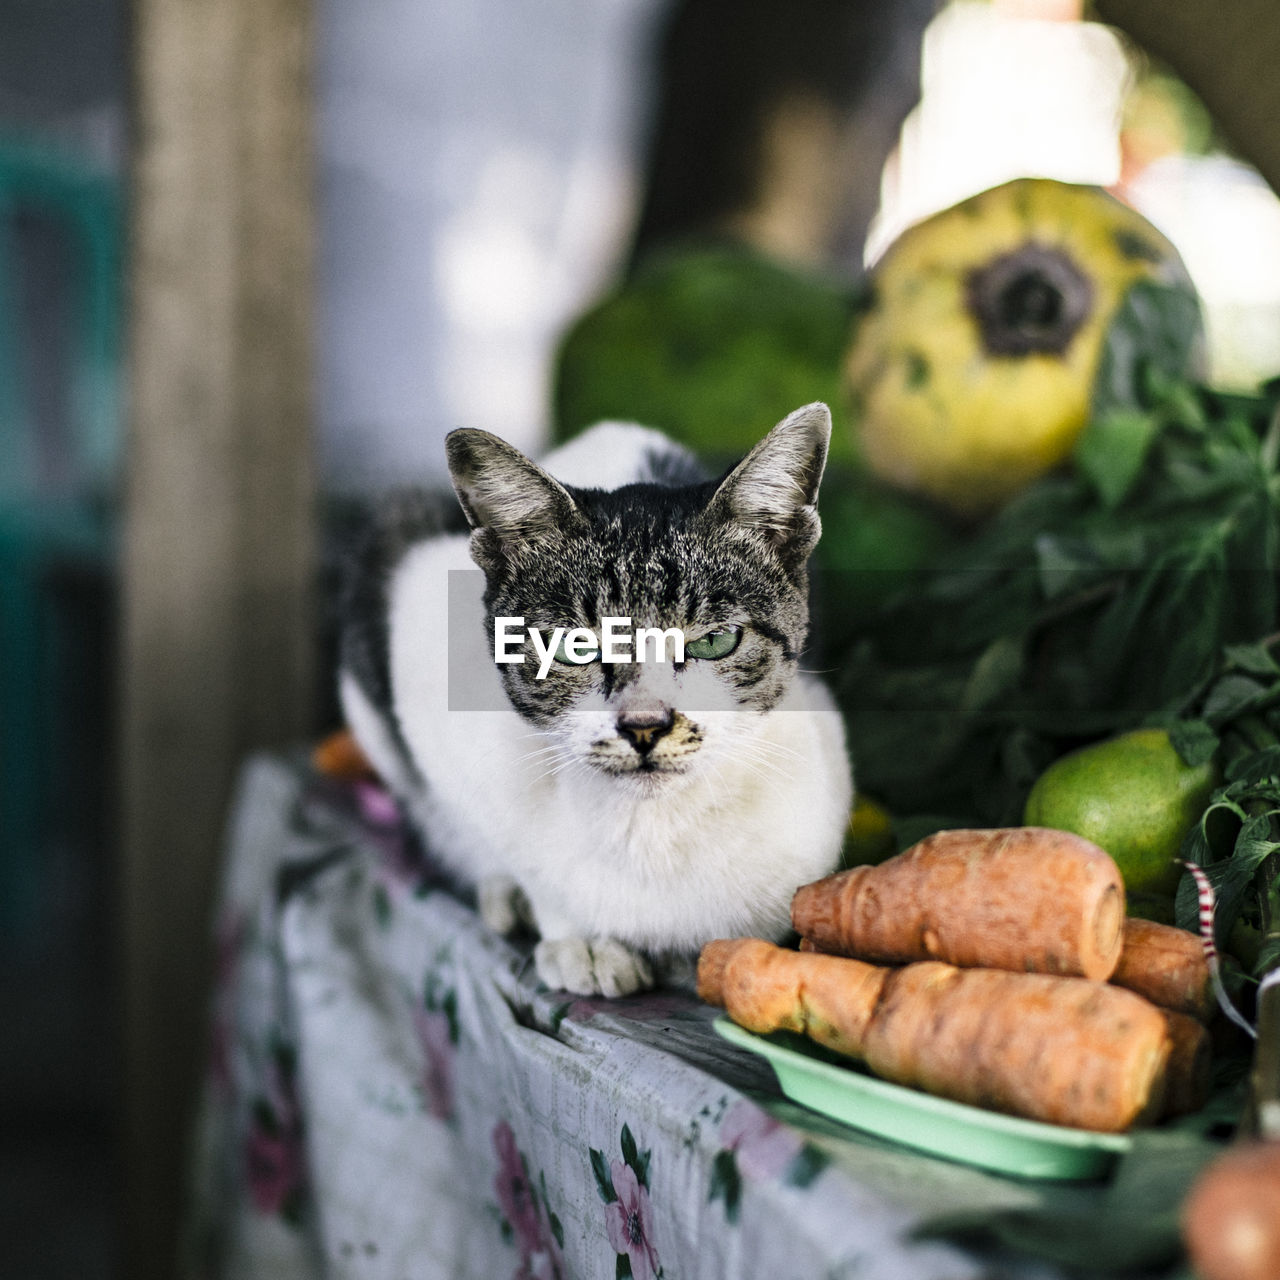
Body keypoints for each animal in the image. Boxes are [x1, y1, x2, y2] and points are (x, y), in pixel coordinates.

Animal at [340, 399, 855, 998]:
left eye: (714, 640)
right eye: (573, 646)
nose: (644, 724)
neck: (651, 831)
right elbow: (504, 843)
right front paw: (575, 932)